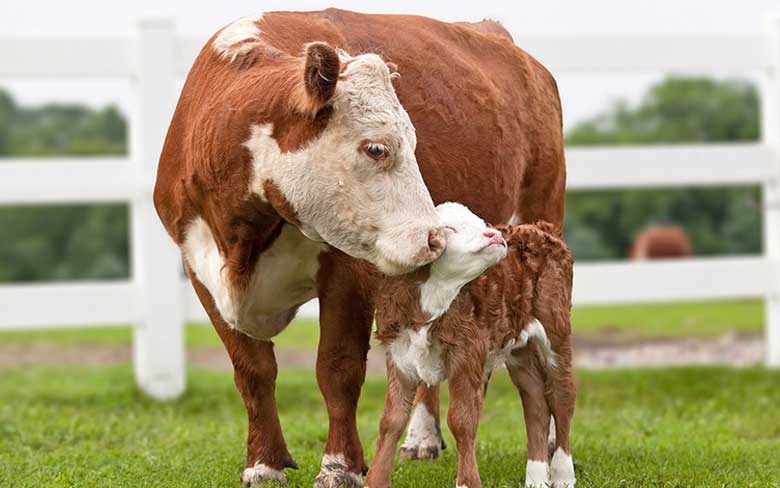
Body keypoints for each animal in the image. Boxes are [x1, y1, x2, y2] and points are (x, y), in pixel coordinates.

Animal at [366, 203, 572, 488]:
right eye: (448, 228)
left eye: (482, 222)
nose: (494, 235)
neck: (431, 303)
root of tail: (539, 227)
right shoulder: (399, 355)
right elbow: (391, 420)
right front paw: (374, 480)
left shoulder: (467, 353)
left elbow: (461, 419)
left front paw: (467, 481)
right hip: (520, 348)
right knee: (536, 402)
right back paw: (536, 479)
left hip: (556, 331)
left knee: (562, 398)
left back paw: (563, 476)